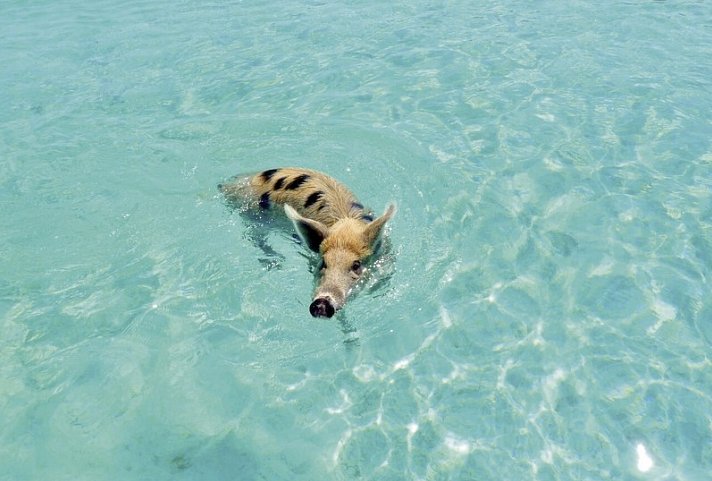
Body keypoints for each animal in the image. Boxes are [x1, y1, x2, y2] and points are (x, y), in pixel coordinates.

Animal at [217, 167, 394, 316]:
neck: (345, 227)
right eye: (323, 262)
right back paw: (277, 261)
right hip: (254, 218)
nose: (321, 303)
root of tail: (228, 186)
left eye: (356, 265)